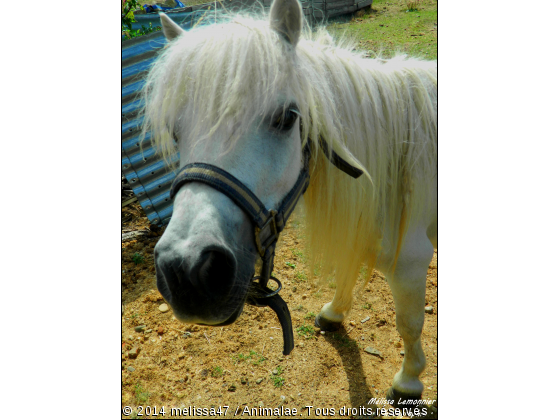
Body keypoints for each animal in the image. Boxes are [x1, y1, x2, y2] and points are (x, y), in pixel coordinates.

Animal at [143, 0, 438, 406]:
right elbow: (345, 271)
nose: (186, 272)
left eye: (287, 118)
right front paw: (334, 313)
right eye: (175, 131)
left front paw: (408, 381)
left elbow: (409, 324)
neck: (394, 159)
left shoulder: (410, 262)